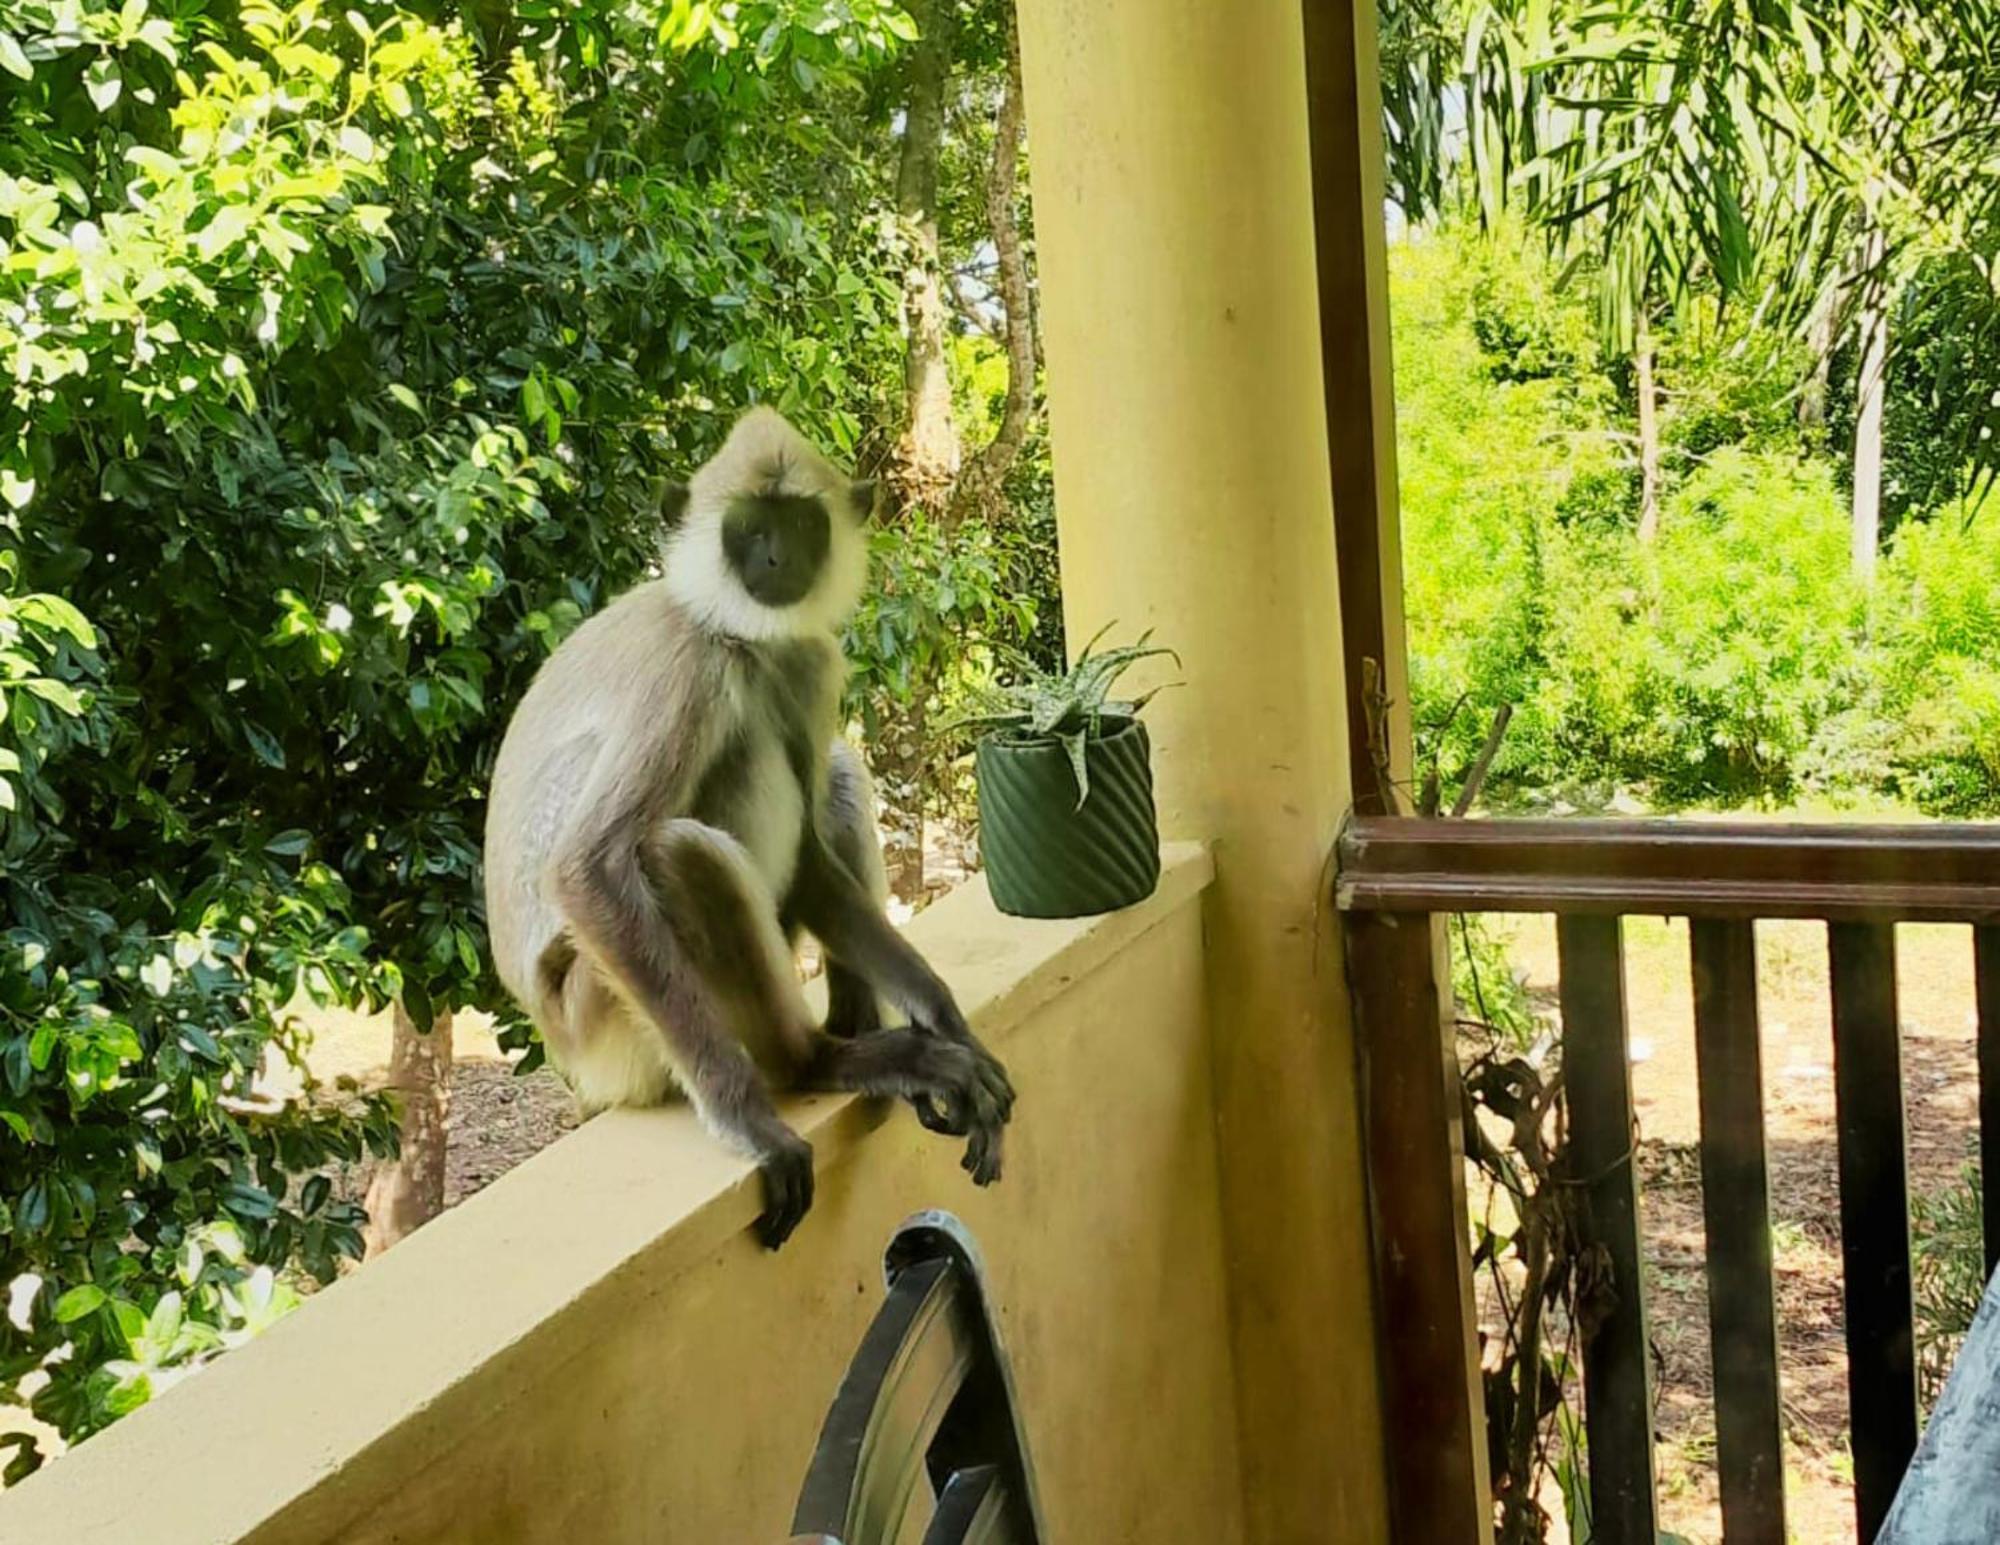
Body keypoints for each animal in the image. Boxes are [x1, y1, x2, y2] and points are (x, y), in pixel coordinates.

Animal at [486, 408, 1016, 1240]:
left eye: (800, 523)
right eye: (749, 528)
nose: (775, 556)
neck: (737, 631)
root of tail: (570, 1060)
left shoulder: (810, 662)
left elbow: (809, 857)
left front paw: (944, 1015)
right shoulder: (686, 664)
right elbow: (589, 868)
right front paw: (755, 1125)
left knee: (833, 772)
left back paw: (859, 1024)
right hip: (605, 1019)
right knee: (676, 849)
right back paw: (816, 1062)